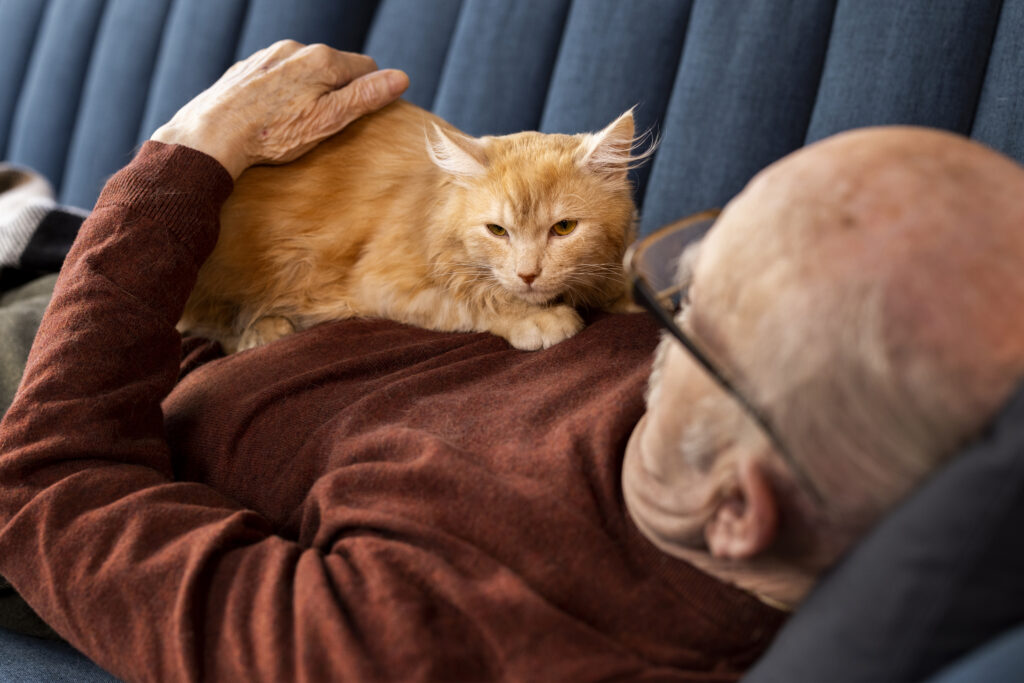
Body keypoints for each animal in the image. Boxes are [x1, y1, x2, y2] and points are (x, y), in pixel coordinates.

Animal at [179, 100, 647, 352]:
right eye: (498, 231)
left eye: (563, 228)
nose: (528, 274)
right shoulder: (382, 281)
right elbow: (473, 301)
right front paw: (539, 320)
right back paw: (264, 330)